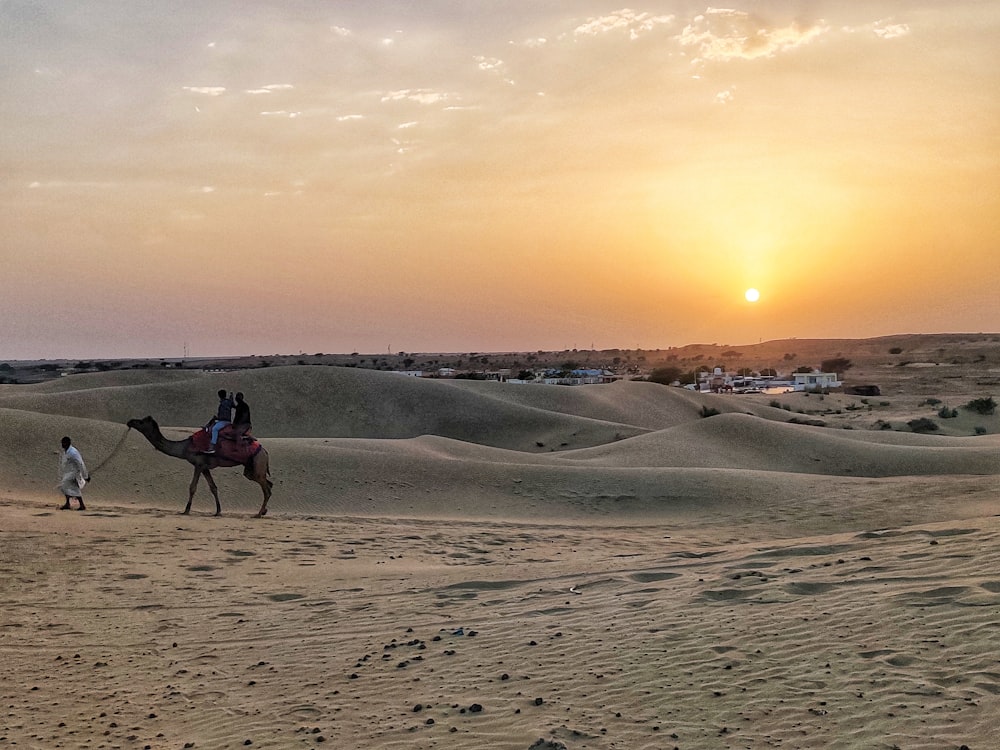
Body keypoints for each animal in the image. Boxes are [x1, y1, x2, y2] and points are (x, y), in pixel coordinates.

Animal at [127, 418, 274, 516]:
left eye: (141, 422)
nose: (130, 421)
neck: (185, 447)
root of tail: (265, 452)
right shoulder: (205, 467)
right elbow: (213, 487)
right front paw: (218, 511)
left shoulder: (198, 464)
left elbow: (192, 487)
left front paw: (186, 510)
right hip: (251, 468)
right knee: (268, 484)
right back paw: (263, 511)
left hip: (257, 463)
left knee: (267, 489)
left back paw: (259, 513)